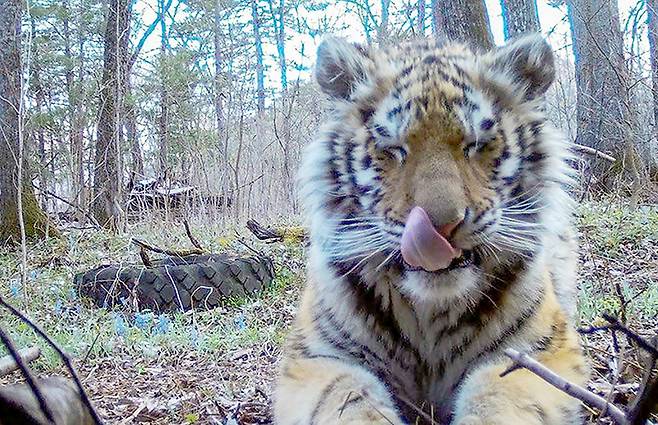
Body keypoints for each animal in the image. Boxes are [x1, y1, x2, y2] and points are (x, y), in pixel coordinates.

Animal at [273, 34, 589, 425]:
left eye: (477, 145)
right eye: (394, 149)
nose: (440, 227)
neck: (430, 314)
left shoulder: (539, 351)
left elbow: (498, 397)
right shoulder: (317, 358)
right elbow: (347, 396)